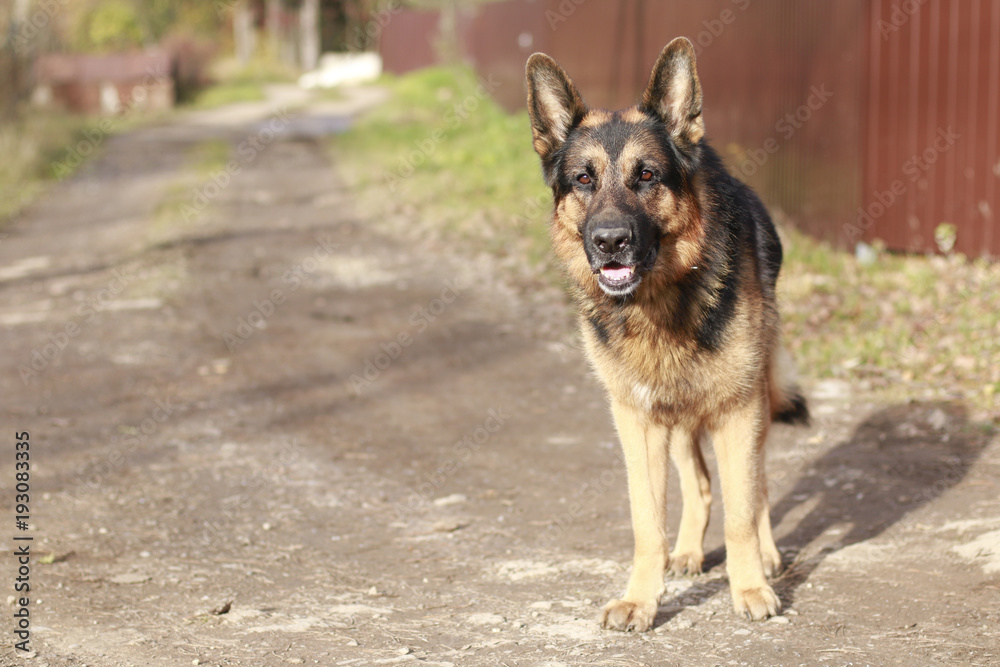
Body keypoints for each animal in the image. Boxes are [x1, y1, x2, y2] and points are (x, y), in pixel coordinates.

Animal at [528, 36, 808, 632]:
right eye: (583, 179)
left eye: (647, 176)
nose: (610, 242)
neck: (658, 302)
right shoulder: (638, 421)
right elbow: (646, 521)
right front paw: (641, 598)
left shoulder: (737, 411)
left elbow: (742, 511)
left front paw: (749, 587)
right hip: (675, 416)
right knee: (699, 484)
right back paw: (687, 552)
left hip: (752, 404)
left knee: (758, 483)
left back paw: (768, 557)